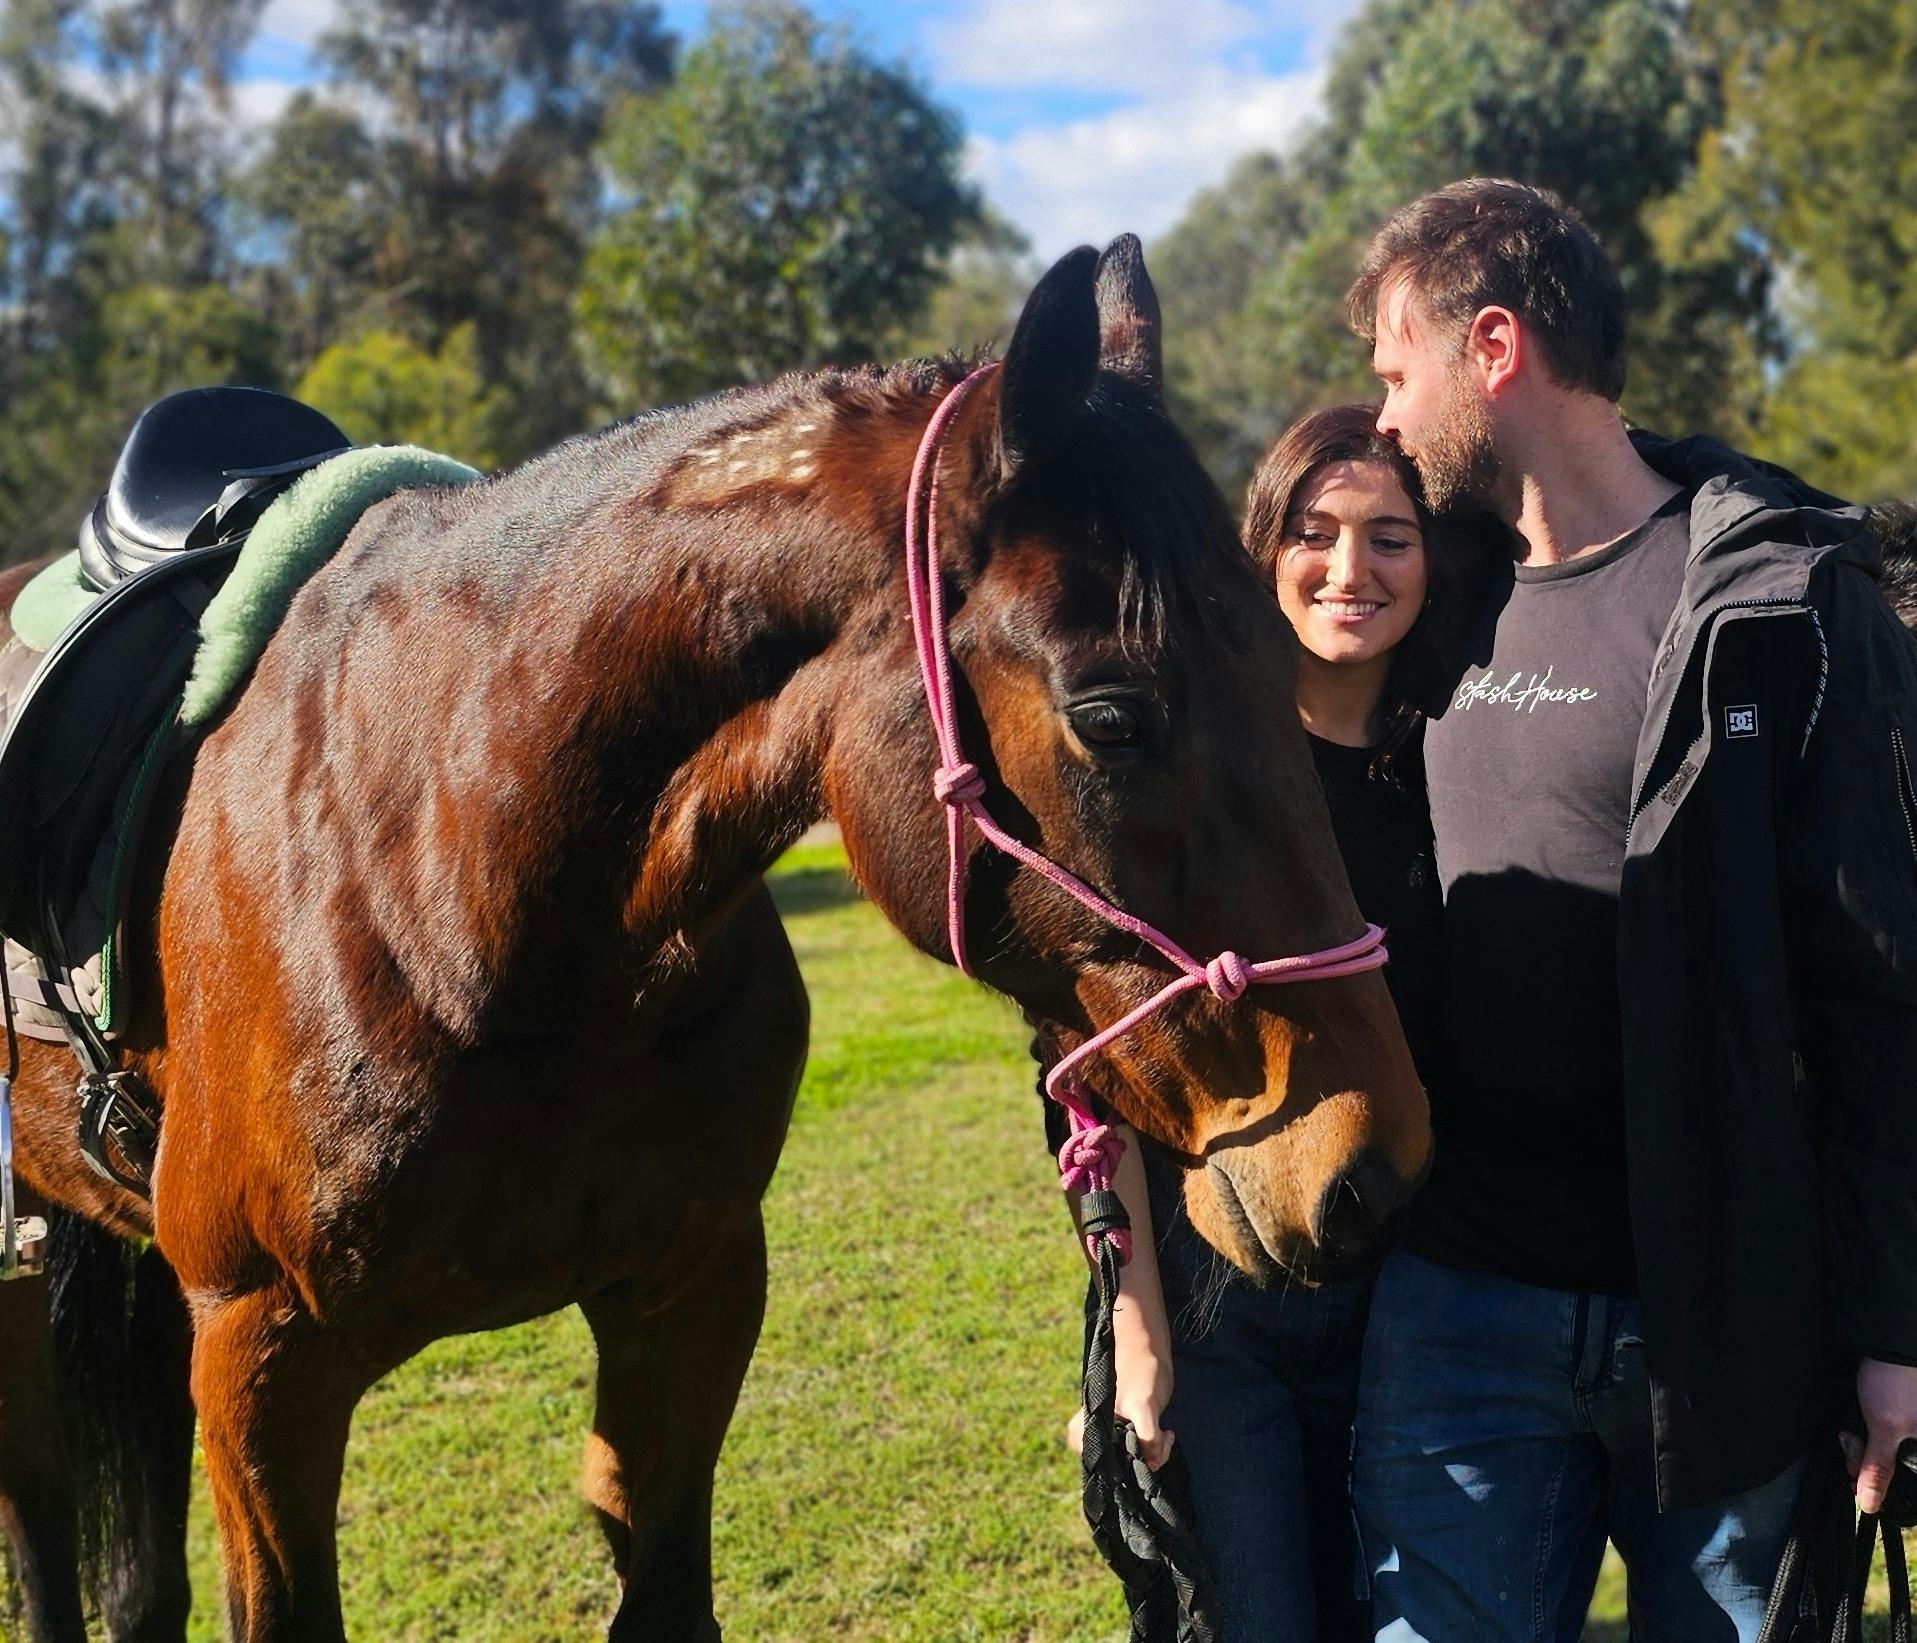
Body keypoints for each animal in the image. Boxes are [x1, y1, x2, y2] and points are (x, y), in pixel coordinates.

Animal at [0, 237, 1429, 1640]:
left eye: (1287, 669)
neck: (457, 875)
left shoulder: (689, 1292)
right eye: (1113, 714)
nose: (1373, 1165)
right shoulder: (260, 1361)